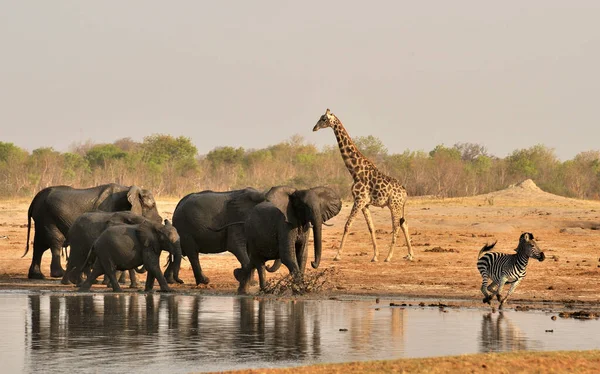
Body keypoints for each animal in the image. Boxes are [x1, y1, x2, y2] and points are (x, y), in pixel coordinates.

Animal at [24, 183, 162, 280]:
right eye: (152, 205)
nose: (161, 220)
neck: (129, 188)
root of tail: (35, 199)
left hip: (41, 217)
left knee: (39, 245)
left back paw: (37, 276)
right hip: (48, 216)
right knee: (55, 241)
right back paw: (59, 274)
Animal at [312, 108, 414, 262]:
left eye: (323, 119)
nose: (314, 128)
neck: (355, 170)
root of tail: (405, 192)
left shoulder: (359, 200)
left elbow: (347, 225)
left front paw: (337, 255)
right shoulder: (365, 203)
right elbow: (371, 227)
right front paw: (375, 256)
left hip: (394, 205)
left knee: (396, 226)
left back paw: (389, 256)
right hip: (399, 206)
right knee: (404, 223)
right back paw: (410, 254)